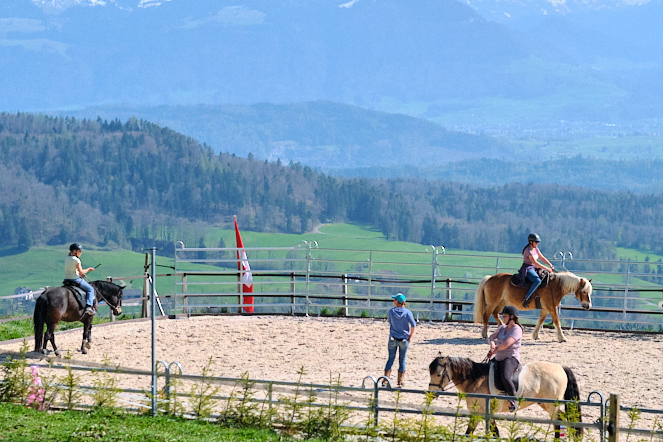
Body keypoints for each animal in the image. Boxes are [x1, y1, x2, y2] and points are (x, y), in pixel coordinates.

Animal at [430, 356, 580, 436]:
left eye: (438, 374)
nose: (431, 394)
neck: (474, 379)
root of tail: (560, 367)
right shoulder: (484, 413)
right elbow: (492, 431)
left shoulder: (481, 412)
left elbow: (473, 431)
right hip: (544, 403)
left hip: (551, 405)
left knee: (558, 421)